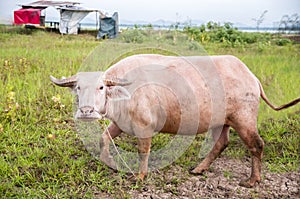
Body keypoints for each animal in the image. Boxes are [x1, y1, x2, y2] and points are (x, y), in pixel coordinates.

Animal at [50, 53, 298, 187]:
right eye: (78, 88)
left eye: (101, 87)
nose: (86, 111)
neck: (122, 92)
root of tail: (251, 77)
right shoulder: (120, 123)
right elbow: (104, 137)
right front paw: (108, 161)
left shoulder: (144, 126)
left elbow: (143, 151)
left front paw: (140, 176)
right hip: (222, 121)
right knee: (221, 142)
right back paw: (198, 169)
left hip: (244, 118)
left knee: (256, 144)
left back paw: (251, 180)